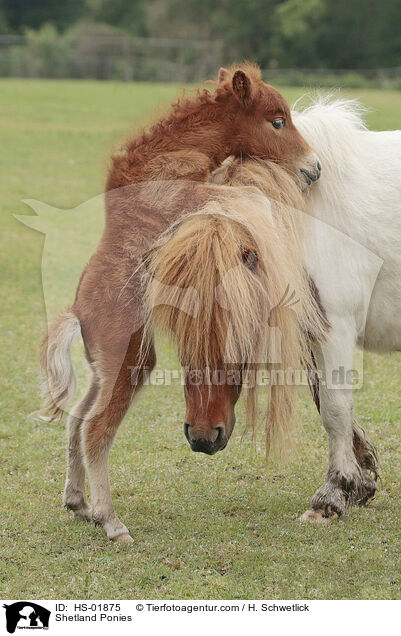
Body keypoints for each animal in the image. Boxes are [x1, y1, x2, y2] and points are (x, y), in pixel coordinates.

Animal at [39, 63, 318, 540]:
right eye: (277, 121)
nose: (313, 169)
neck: (168, 154)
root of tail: (77, 311)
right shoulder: (189, 196)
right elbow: (232, 197)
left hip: (106, 368)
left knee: (77, 419)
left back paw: (78, 502)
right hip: (129, 362)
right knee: (95, 428)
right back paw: (110, 521)